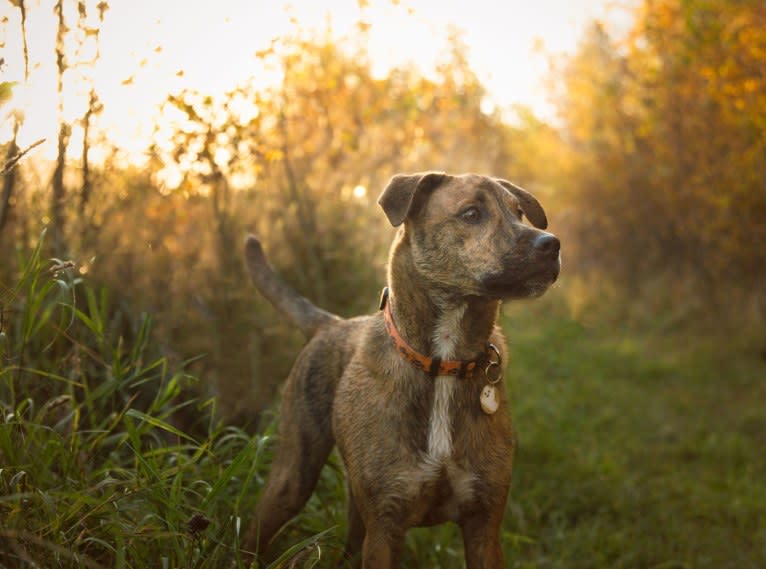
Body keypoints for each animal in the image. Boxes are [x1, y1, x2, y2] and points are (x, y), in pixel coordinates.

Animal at [246, 173, 564, 568]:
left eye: (519, 212)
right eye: (471, 213)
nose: (551, 245)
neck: (444, 364)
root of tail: (329, 323)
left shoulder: (485, 524)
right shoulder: (384, 528)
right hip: (293, 475)